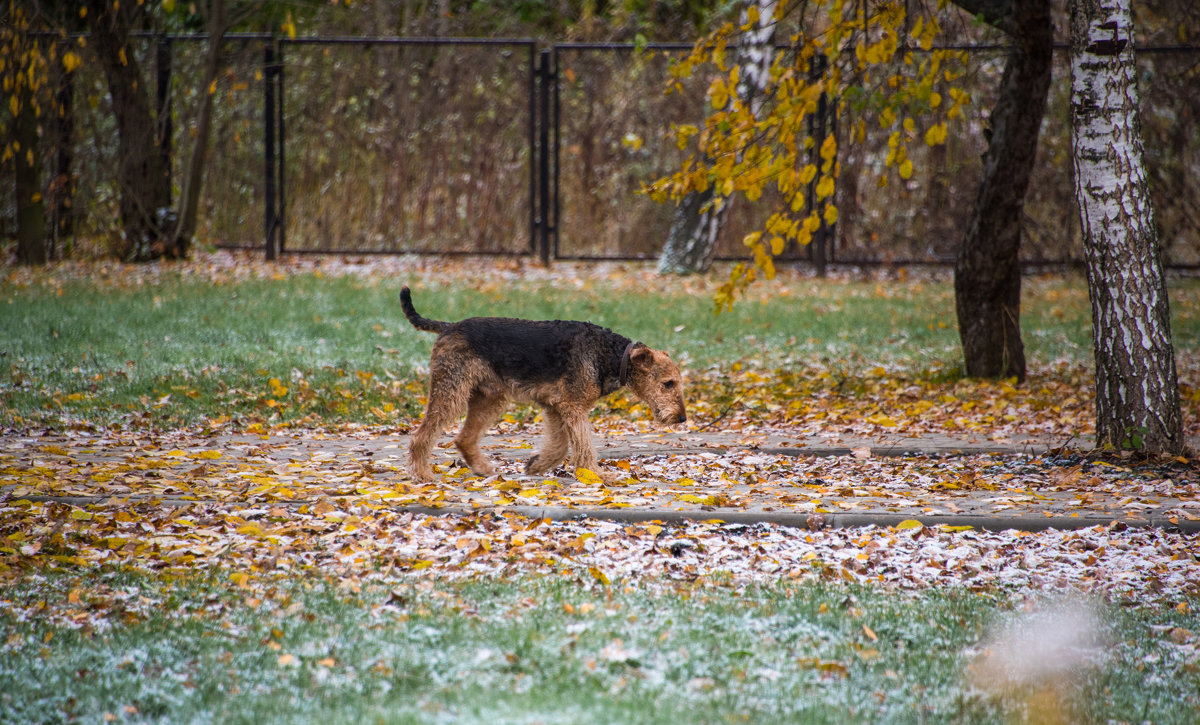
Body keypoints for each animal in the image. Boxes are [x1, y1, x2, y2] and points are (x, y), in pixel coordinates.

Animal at [400, 285, 686, 484]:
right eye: (668, 383)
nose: (682, 418)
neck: (612, 355)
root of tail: (448, 327)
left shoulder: (555, 406)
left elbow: (560, 446)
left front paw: (536, 464)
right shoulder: (572, 406)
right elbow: (583, 446)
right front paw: (598, 475)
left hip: (489, 398)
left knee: (464, 438)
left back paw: (482, 469)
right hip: (452, 391)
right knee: (420, 436)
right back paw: (422, 475)